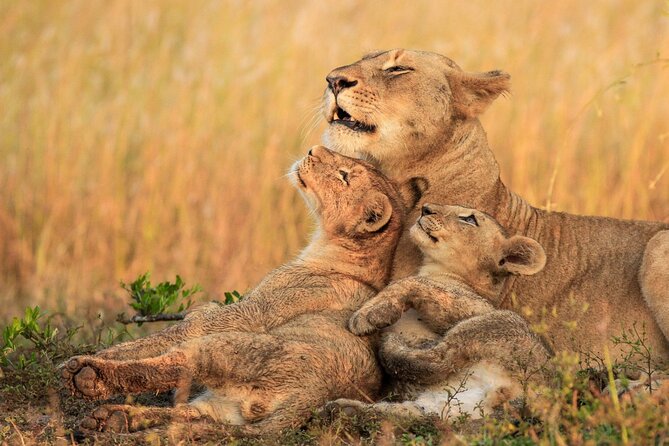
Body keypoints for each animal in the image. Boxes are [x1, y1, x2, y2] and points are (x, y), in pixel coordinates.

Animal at [60, 145, 416, 435]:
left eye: (344, 176)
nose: (313, 149)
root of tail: (311, 398)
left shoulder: (250, 313)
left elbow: (165, 335)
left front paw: (94, 356)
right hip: (223, 409)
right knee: (188, 418)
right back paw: (112, 420)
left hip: (228, 348)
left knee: (173, 363)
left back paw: (87, 375)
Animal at [329, 203, 551, 419]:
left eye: (469, 219)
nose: (425, 208)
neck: (437, 270)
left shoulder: (474, 306)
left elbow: (413, 281)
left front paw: (367, 315)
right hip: (442, 407)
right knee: (410, 414)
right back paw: (342, 410)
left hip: (499, 323)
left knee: (440, 359)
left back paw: (391, 344)